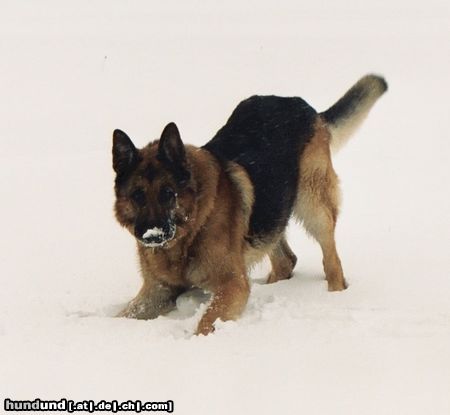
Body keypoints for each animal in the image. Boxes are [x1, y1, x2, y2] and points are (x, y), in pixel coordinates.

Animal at [112, 74, 386, 334]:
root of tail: (302, 105)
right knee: (286, 261)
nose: (152, 234)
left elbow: (206, 322)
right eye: (137, 196)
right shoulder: (157, 291)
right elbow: (124, 315)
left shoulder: (232, 285)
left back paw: (334, 293)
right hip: (271, 212)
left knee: (332, 262)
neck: (191, 229)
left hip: (313, 206)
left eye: (168, 193)